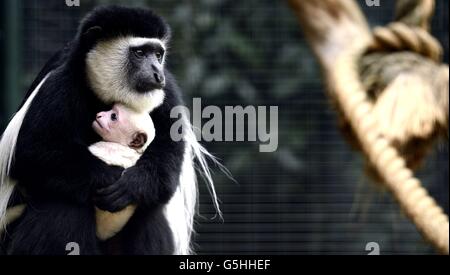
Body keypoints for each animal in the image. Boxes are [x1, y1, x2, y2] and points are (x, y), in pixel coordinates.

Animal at [0, 5, 221, 256]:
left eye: (158, 54)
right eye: (139, 53)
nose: (157, 73)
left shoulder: (168, 94)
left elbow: (168, 161)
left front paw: (131, 185)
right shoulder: (58, 84)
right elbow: (31, 152)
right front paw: (109, 175)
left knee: (150, 211)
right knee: (62, 205)